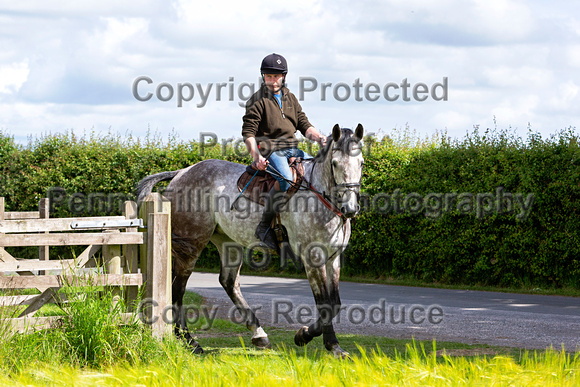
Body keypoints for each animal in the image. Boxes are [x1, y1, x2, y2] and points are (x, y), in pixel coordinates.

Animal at [136, 123, 362, 358]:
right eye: (335, 164)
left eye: (361, 163)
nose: (350, 208)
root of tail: (181, 172)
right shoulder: (313, 258)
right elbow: (325, 303)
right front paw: (312, 338)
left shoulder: (333, 259)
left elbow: (335, 303)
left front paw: (325, 342)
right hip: (192, 245)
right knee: (179, 288)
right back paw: (189, 341)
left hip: (227, 241)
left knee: (228, 282)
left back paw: (258, 333)